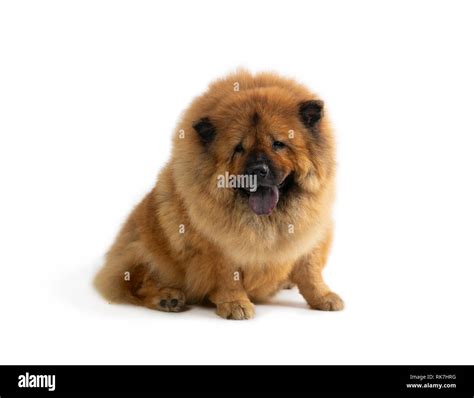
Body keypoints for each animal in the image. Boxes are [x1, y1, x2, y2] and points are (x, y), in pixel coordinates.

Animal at [93, 70, 344, 320]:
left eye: (278, 144)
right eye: (239, 148)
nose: (258, 170)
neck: (265, 220)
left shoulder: (311, 235)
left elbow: (310, 271)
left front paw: (323, 297)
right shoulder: (215, 245)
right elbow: (227, 276)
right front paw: (235, 304)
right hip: (143, 252)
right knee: (138, 283)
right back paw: (167, 298)